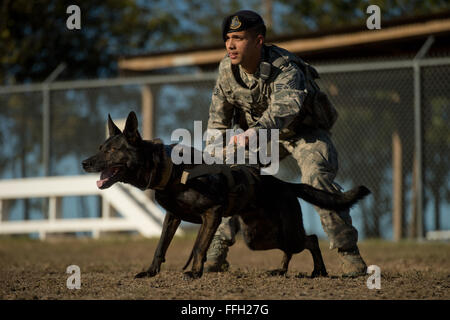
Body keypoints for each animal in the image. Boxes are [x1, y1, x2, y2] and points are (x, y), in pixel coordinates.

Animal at [81, 112, 370, 280]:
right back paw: (281, 270)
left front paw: (194, 273)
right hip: (260, 237)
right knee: (292, 247)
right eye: (100, 147)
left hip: (286, 232)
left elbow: (200, 246)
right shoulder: (172, 218)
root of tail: (285, 185)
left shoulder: (212, 213)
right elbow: (160, 247)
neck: (172, 169)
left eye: (112, 151)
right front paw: (152, 272)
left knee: (311, 240)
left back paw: (318, 271)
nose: (84, 163)